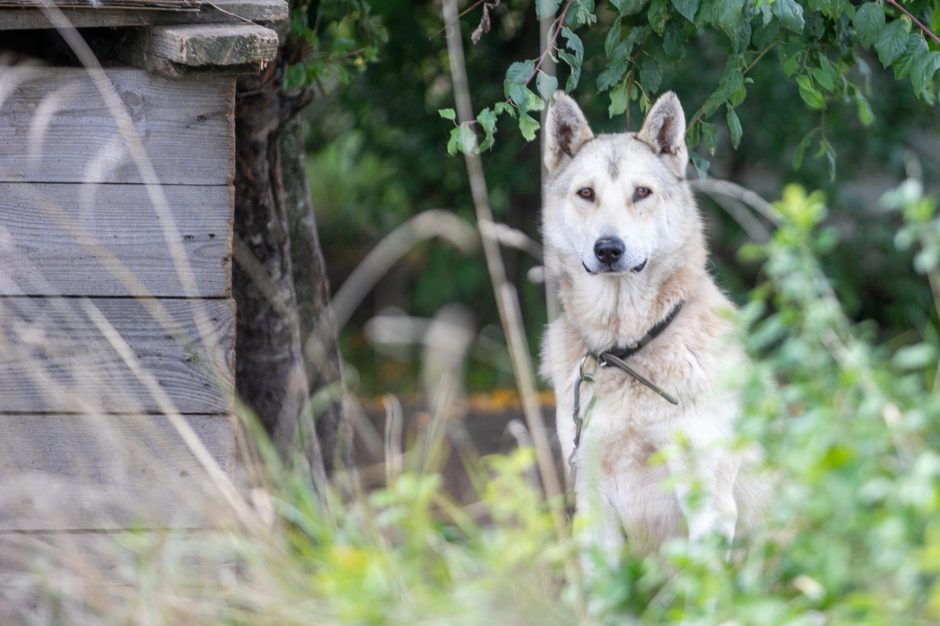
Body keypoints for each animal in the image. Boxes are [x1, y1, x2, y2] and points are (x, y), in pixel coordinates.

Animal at [536, 91, 764, 556]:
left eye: (642, 192)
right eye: (586, 193)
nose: (608, 249)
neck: (624, 350)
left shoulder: (709, 506)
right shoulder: (591, 505)